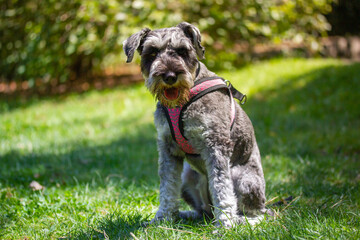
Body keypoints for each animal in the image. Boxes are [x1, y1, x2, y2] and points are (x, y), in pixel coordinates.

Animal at [123, 22, 270, 227]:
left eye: (182, 50)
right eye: (152, 52)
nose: (169, 76)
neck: (183, 100)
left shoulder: (216, 144)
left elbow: (222, 187)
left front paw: (226, 224)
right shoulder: (167, 148)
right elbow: (167, 187)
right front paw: (162, 218)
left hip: (242, 178)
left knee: (255, 211)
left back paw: (243, 220)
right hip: (188, 176)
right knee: (203, 212)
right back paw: (185, 215)